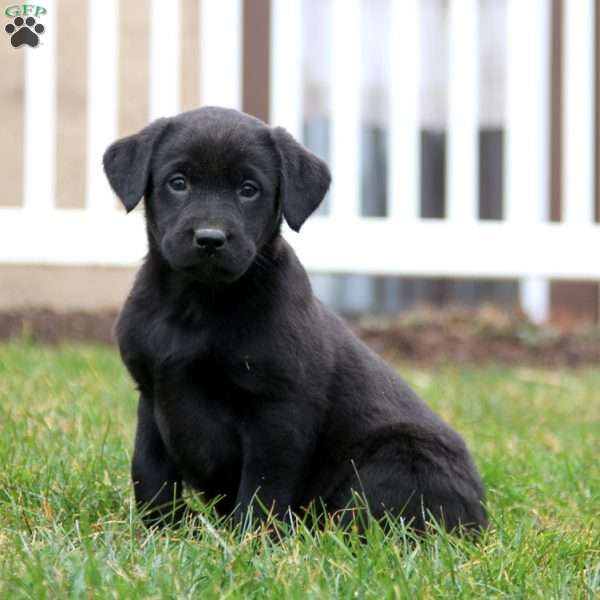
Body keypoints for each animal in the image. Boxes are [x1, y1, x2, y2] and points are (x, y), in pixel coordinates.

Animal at [104, 105, 488, 532]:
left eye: (249, 189)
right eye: (178, 182)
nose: (210, 238)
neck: (195, 306)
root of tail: (480, 519)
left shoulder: (278, 411)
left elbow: (263, 485)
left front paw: (249, 537)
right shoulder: (151, 395)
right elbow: (149, 471)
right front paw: (159, 530)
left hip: (395, 459)